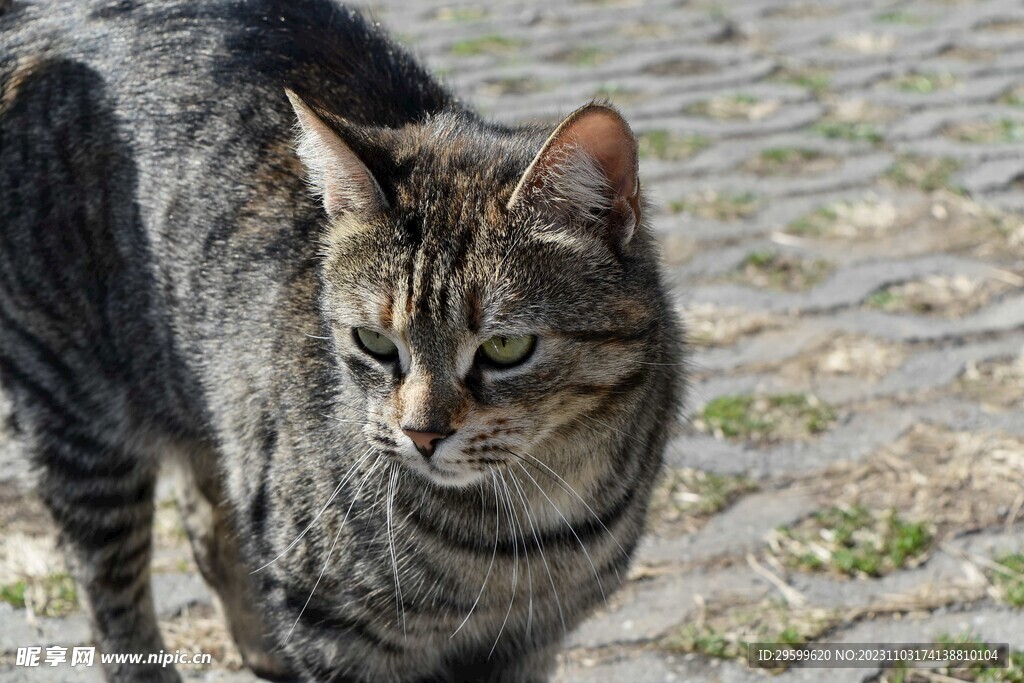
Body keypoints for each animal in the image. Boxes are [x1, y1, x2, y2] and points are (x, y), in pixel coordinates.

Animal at [2, 1, 688, 683]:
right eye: (374, 342)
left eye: (505, 349)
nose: (422, 435)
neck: (527, 528)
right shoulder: (333, 633)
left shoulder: (531, 642)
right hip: (79, 423)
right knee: (113, 594)